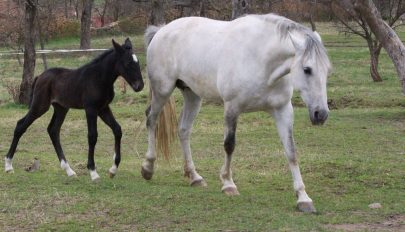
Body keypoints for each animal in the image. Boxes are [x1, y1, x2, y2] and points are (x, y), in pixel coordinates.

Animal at [140, 14, 330, 212]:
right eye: (307, 69)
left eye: (327, 70)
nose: (321, 114)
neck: (261, 59)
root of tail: (161, 30)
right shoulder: (232, 108)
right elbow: (229, 145)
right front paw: (228, 184)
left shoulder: (283, 110)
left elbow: (291, 152)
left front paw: (303, 198)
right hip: (163, 90)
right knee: (151, 120)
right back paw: (148, 167)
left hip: (192, 95)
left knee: (184, 130)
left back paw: (194, 176)